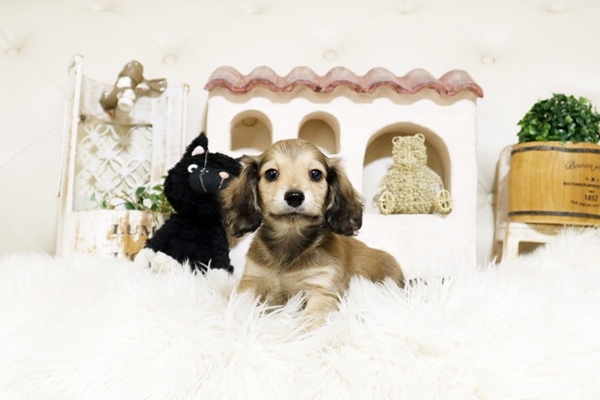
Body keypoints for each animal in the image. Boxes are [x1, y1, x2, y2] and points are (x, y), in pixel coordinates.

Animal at [220, 139, 404, 327]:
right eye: (271, 173)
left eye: (316, 174)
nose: (294, 197)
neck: (290, 243)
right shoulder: (252, 281)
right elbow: (238, 308)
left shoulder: (321, 290)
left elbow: (309, 322)